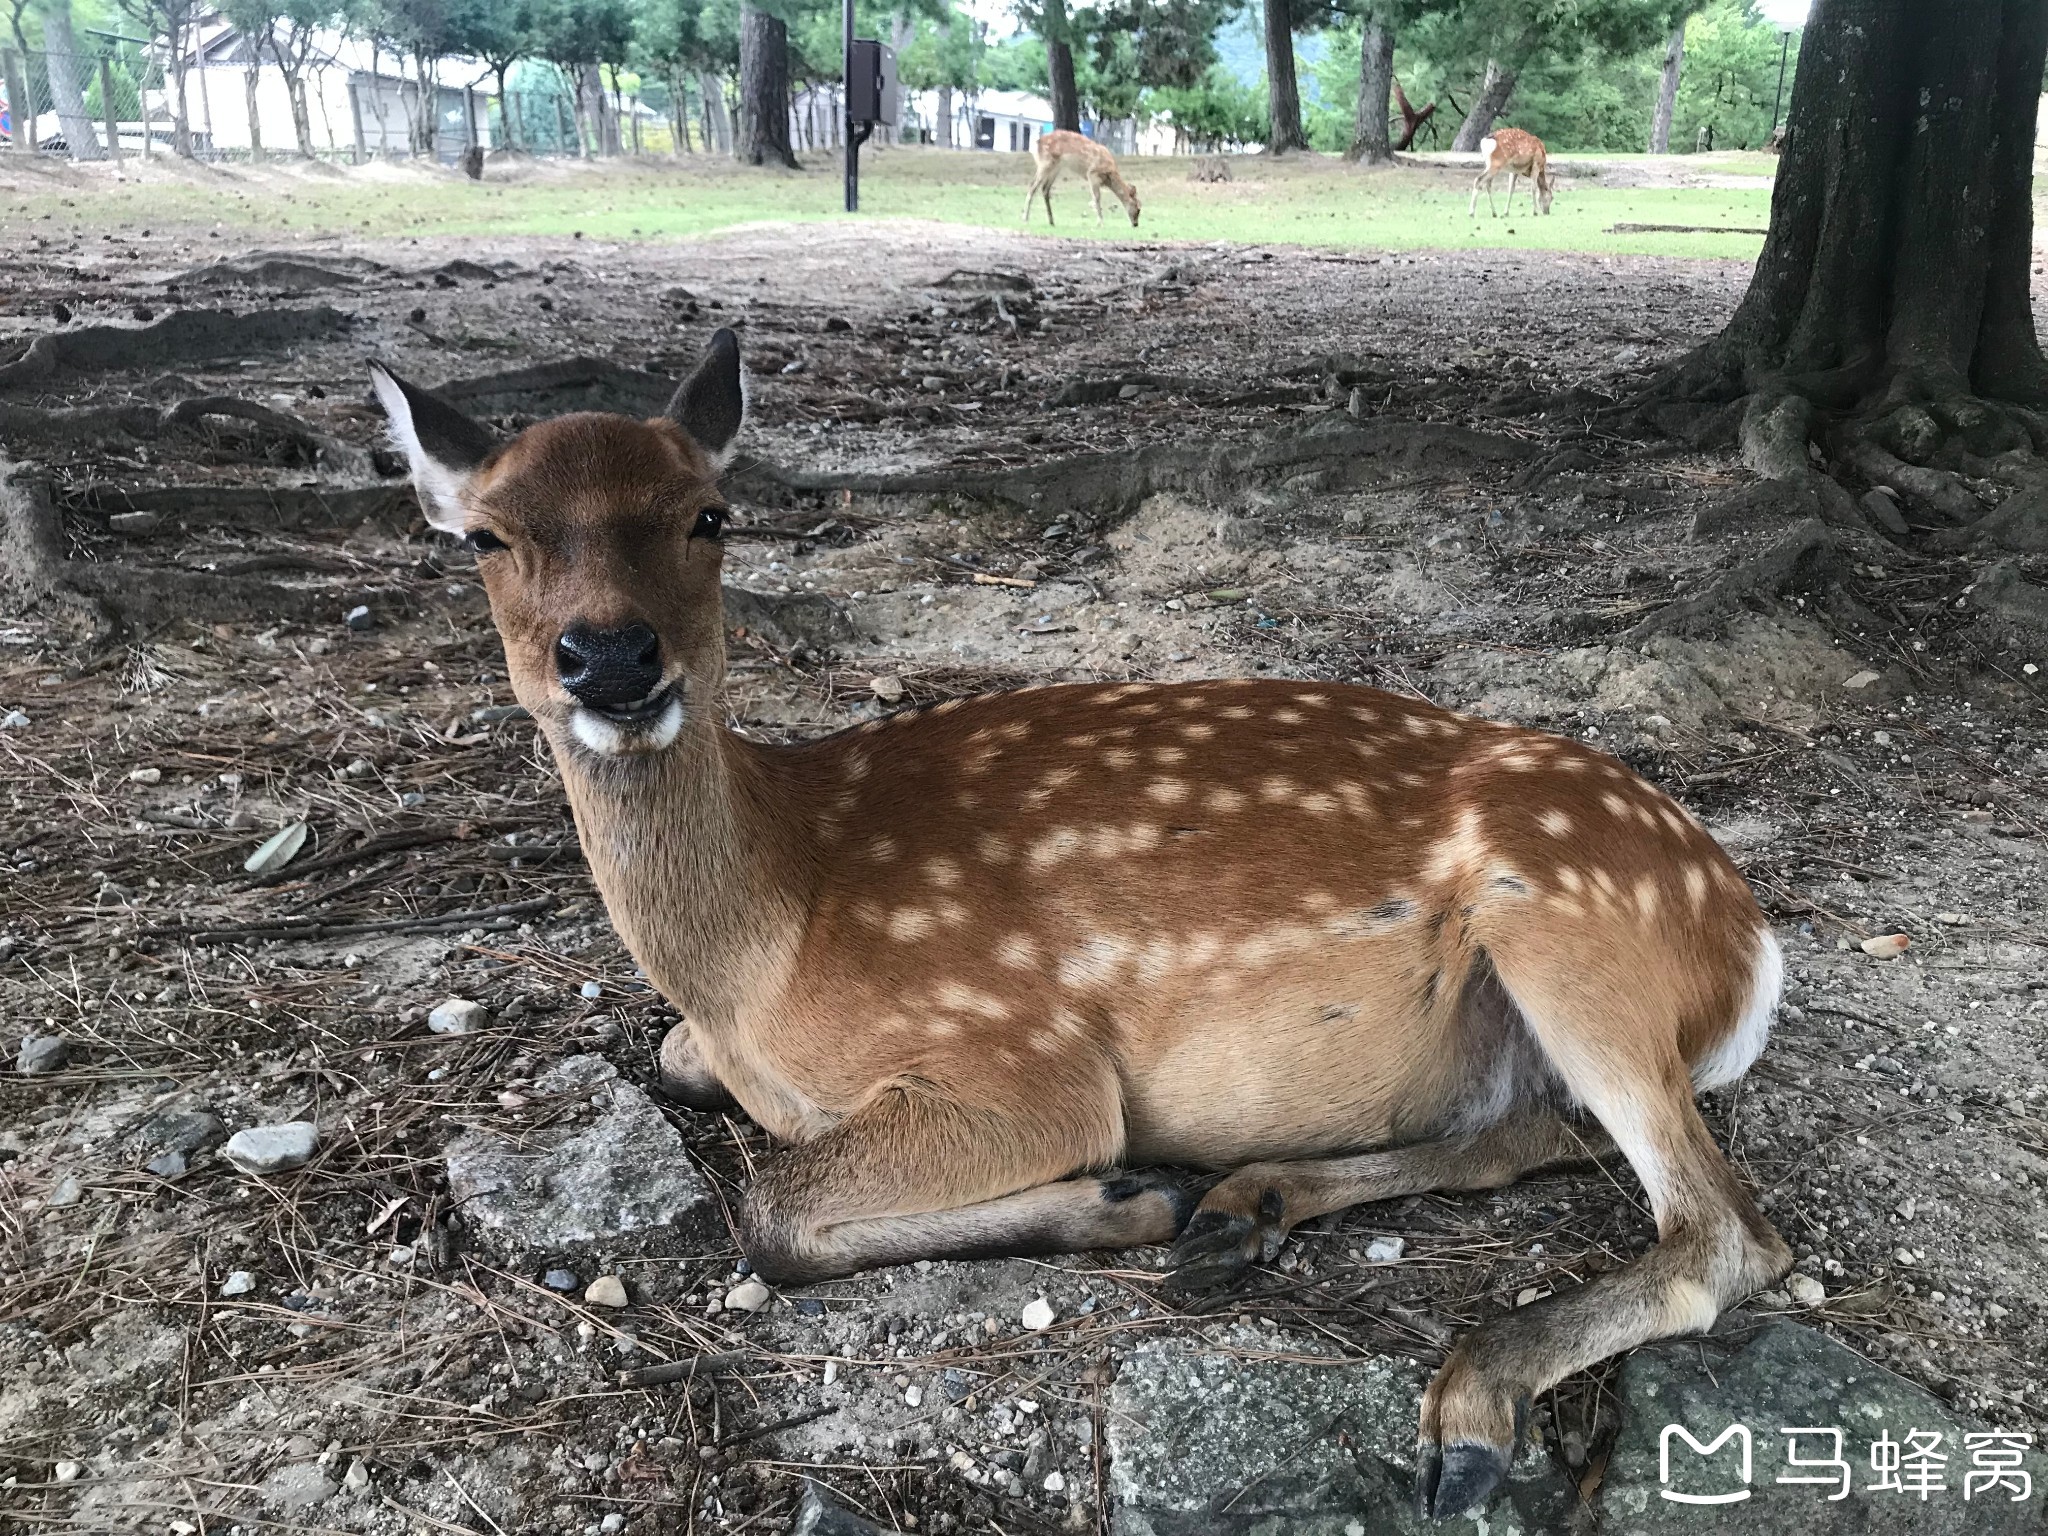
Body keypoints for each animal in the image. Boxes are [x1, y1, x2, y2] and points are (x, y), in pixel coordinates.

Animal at [376, 331, 1785, 1523]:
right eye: (483, 538)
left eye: (707, 515)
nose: (609, 659)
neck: (763, 952)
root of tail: (1750, 945)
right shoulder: (720, 1046)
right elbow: (684, 1078)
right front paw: (1152, 1202)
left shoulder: (1019, 1055)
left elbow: (771, 1212)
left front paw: (1120, 1192)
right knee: (1530, 1133)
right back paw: (1245, 1205)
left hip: (1564, 916)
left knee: (1724, 1232)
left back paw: (1462, 1408)